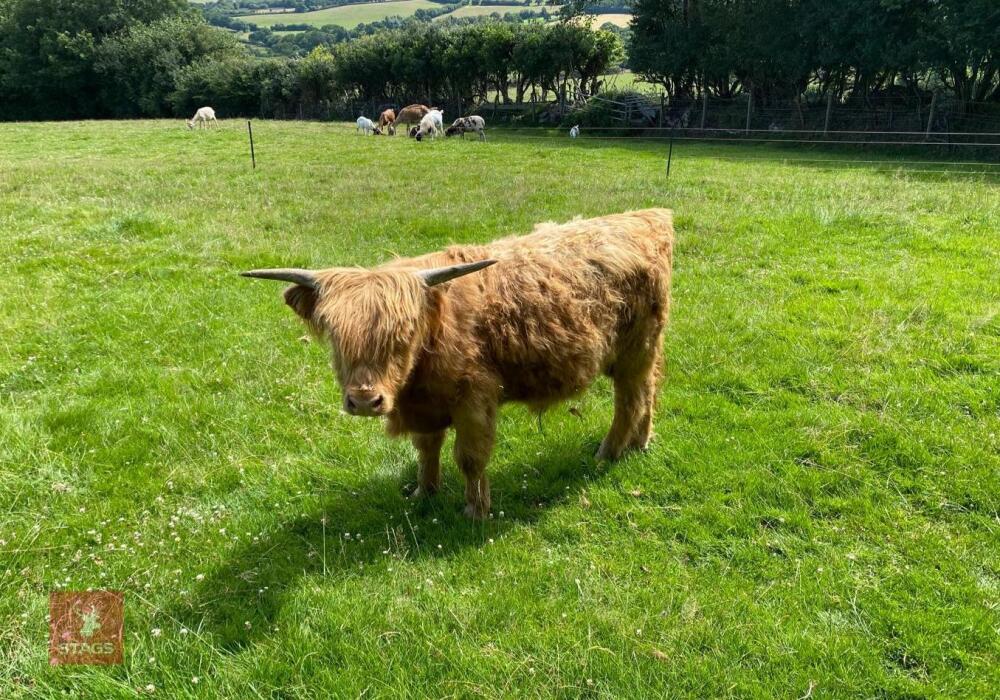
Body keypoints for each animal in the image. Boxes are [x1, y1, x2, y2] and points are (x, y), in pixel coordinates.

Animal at [241, 209, 674, 519]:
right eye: (335, 335)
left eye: (403, 333)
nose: (365, 401)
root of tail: (649, 217)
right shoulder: (425, 406)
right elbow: (426, 449)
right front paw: (424, 492)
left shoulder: (474, 400)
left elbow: (470, 457)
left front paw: (475, 510)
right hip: (646, 349)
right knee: (650, 390)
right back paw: (641, 442)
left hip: (635, 350)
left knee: (631, 399)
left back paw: (608, 452)